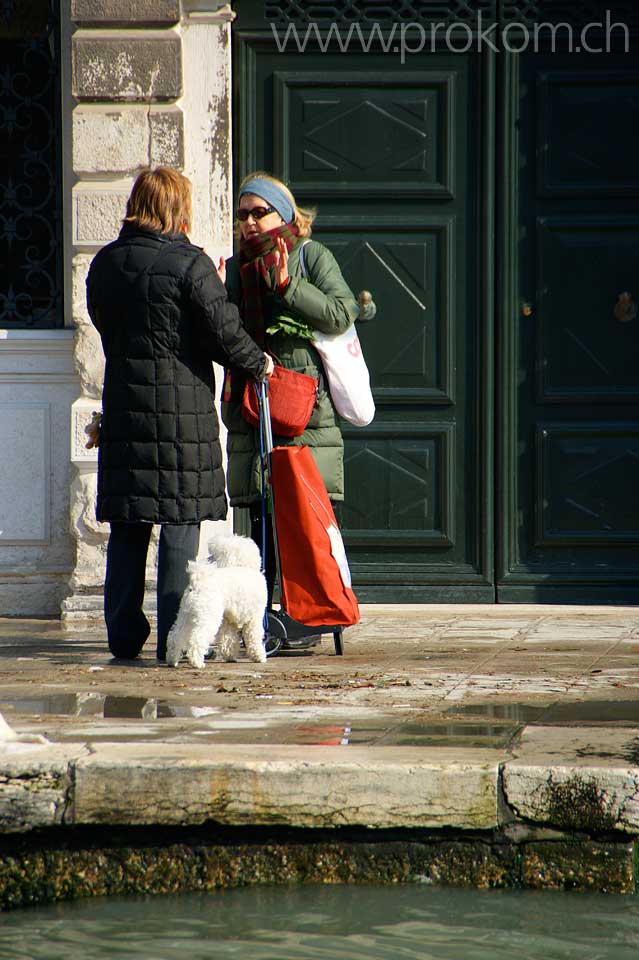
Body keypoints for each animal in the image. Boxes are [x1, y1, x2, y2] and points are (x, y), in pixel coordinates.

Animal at [166, 532, 268, 668]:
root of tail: (198, 582)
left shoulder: (228, 621)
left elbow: (228, 639)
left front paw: (229, 656)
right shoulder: (254, 619)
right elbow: (254, 638)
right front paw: (259, 656)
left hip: (186, 615)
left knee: (176, 637)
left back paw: (172, 660)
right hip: (208, 616)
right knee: (197, 638)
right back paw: (197, 662)